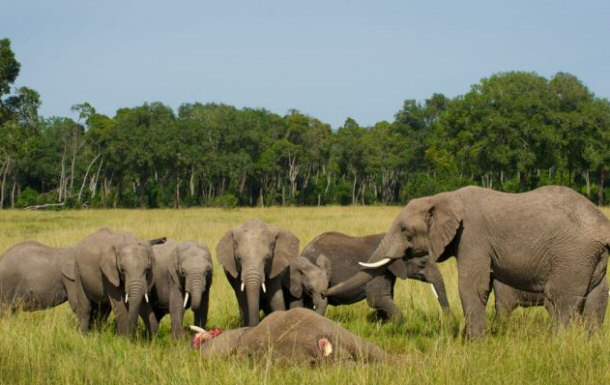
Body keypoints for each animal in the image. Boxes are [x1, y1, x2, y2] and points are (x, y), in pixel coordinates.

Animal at [326, 184, 608, 338]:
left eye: (405, 230)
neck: (442, 197)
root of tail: (602, 224)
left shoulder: (473, 236)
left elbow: (473, 286)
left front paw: (475, 343)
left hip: (572, 255)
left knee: (560, 301)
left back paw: (559, 342)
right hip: (591, 258)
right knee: (594, 300)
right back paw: (589, 344)